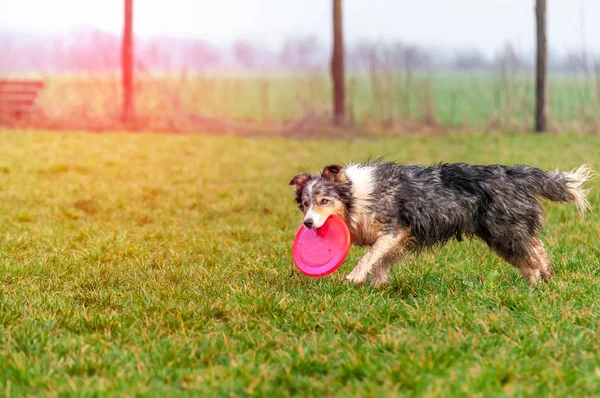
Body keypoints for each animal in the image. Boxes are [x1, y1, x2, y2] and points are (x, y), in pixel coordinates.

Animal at [288, 162, 592, 286]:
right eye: (305, 203)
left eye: (324, 200)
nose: (308, 224)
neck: (356, 196)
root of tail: (517, 174)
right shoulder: (400, 237)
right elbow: (382, 261)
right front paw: (379, 285)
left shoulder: (394, 229)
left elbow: (370, 255)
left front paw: (354, 277)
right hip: (500, 235)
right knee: (529, 258)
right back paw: (534, 285)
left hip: (506, 230)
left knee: (536, 249)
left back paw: (544, 276)